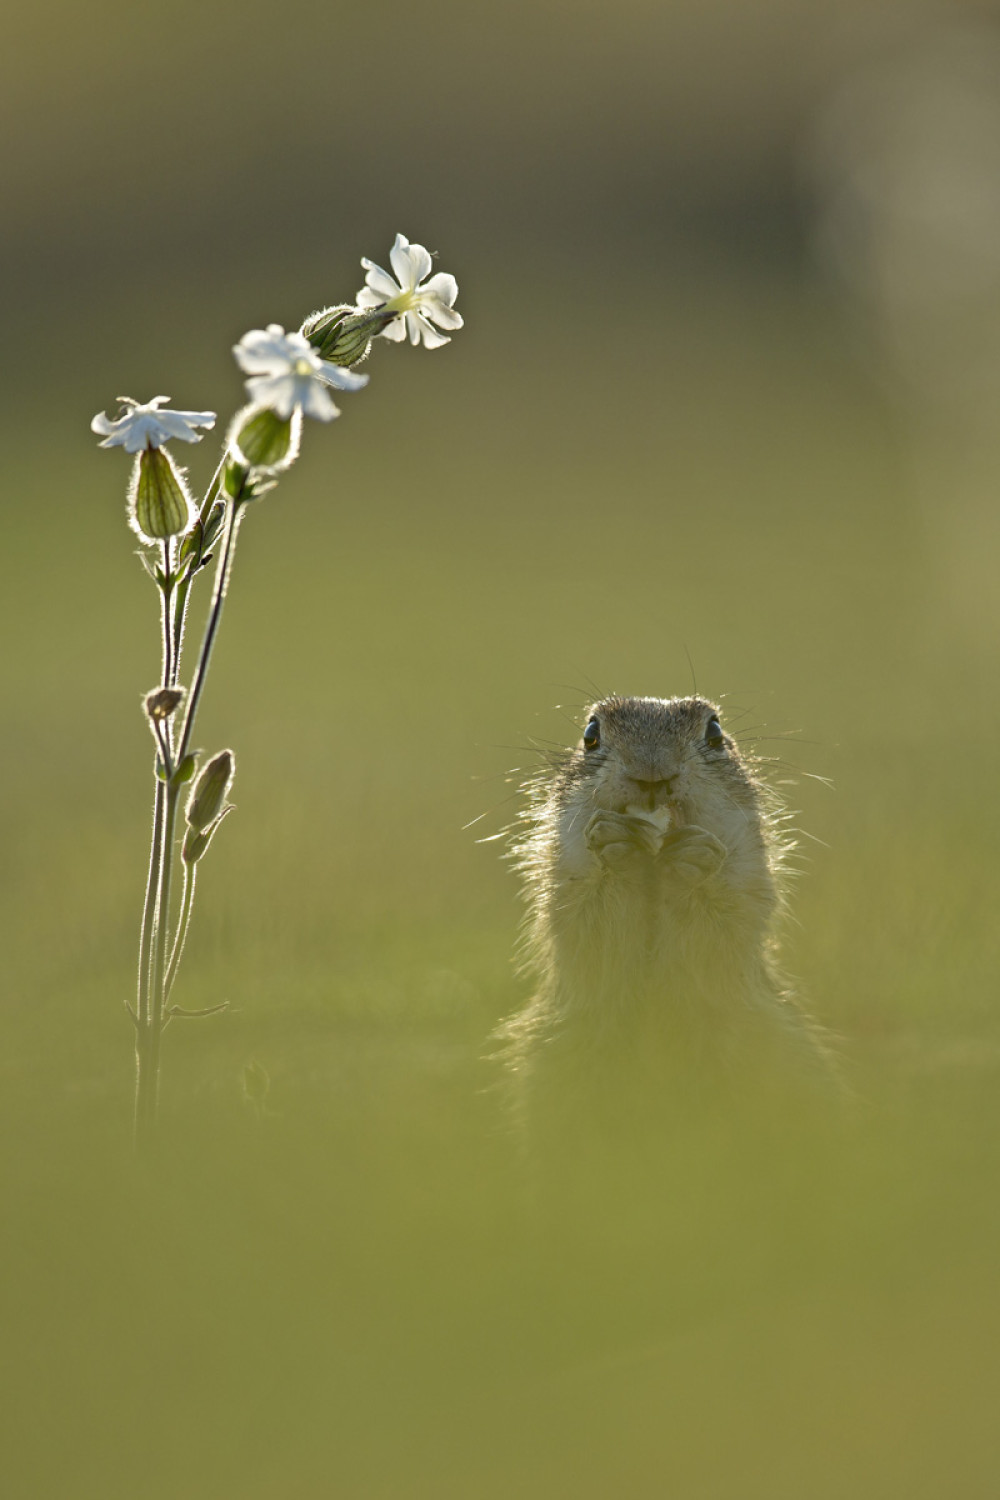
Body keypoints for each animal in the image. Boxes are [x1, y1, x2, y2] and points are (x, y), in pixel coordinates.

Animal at [494, 696, 839, 1140]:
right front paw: (617, 843)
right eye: (590, 735)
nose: (653, 771)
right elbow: (589, 919)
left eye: (715, 732)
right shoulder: (563, 879)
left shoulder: (748, 880)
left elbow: (722, 926)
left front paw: (693, 858)